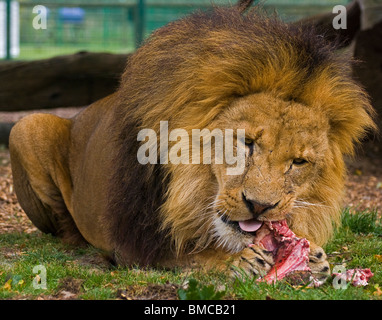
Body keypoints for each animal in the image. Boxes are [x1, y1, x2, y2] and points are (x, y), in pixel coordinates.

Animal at [8, 4, 376, 280]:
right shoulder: (134, 241)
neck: (192, 186)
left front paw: (313, 257)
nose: (260, 206)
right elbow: (189, 254)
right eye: (246, 142)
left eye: (299, 162)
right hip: (26, 127)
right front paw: (236, 260)